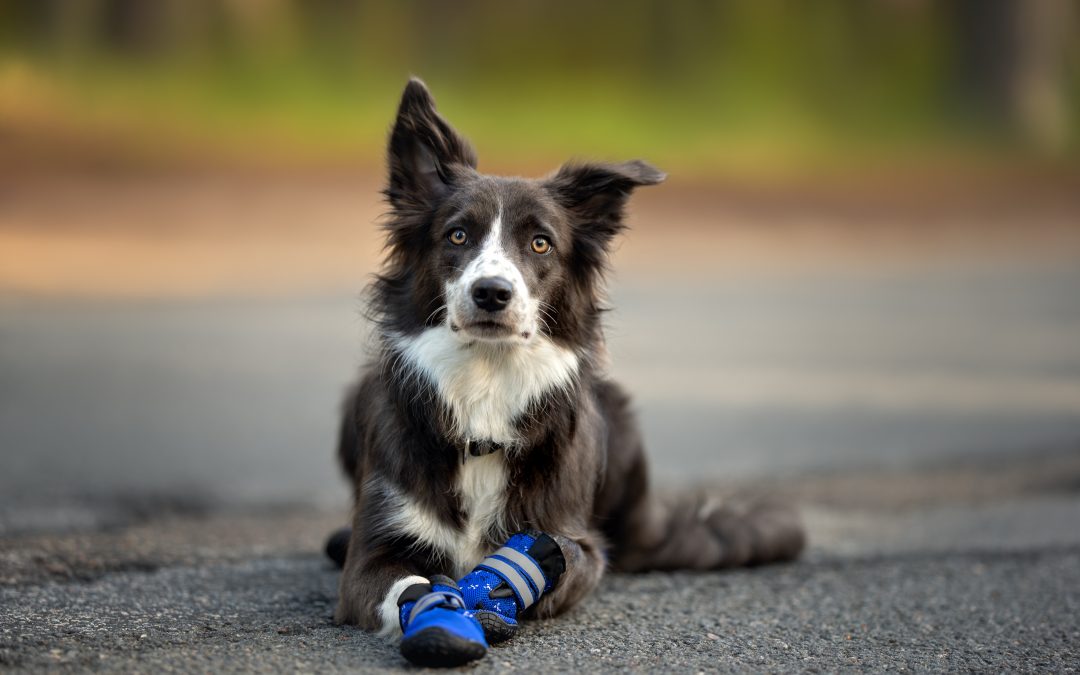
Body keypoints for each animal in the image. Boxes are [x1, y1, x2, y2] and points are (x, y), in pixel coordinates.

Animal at [328, 77, 803, 665]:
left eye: (541, 243)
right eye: (457, 236)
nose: (492, 293)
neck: (486, 388)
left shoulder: (574, 540)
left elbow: (560, 563)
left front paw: (499, 591)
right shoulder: (374, 551)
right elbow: (404, 585)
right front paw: (438, 612)